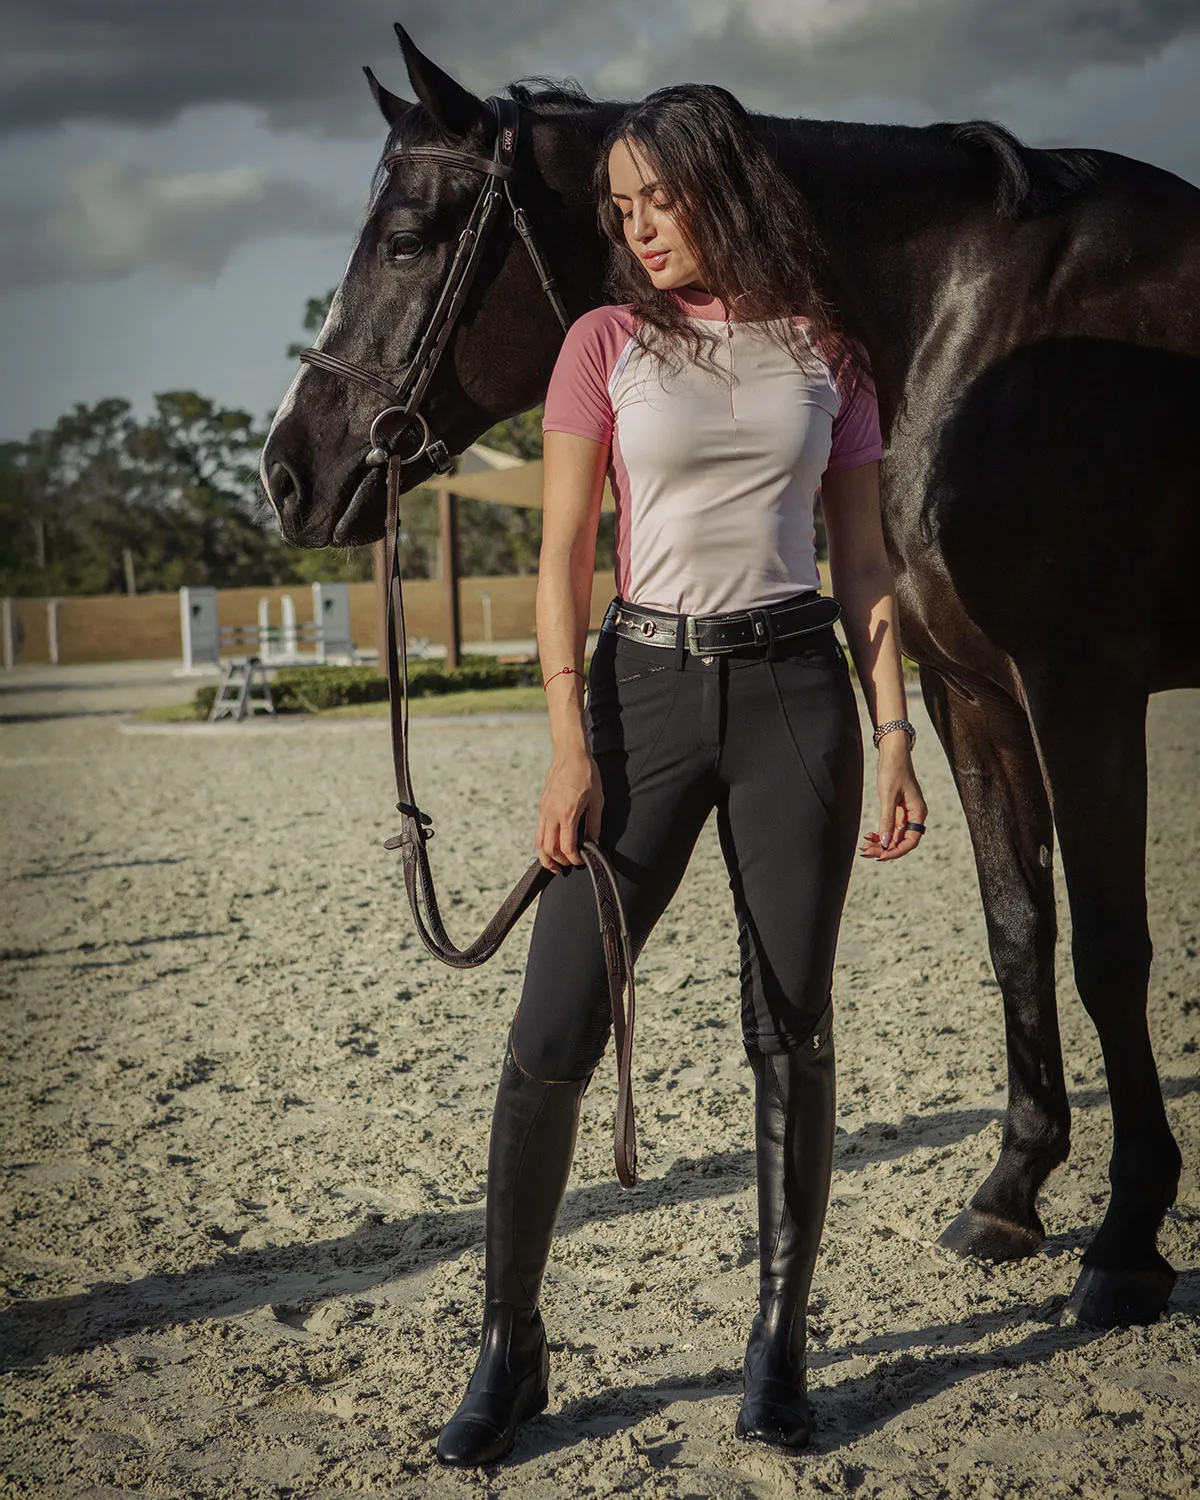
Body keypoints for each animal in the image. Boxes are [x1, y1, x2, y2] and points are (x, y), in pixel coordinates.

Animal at [261, 24, 1199, 1329]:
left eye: (406, 237)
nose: (287, 471)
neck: (972, 330)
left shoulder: (1082, 685)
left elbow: (1111, 953)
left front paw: (1125, 1242)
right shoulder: (974, 694)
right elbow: (1019, 928)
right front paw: (1012, 1193)